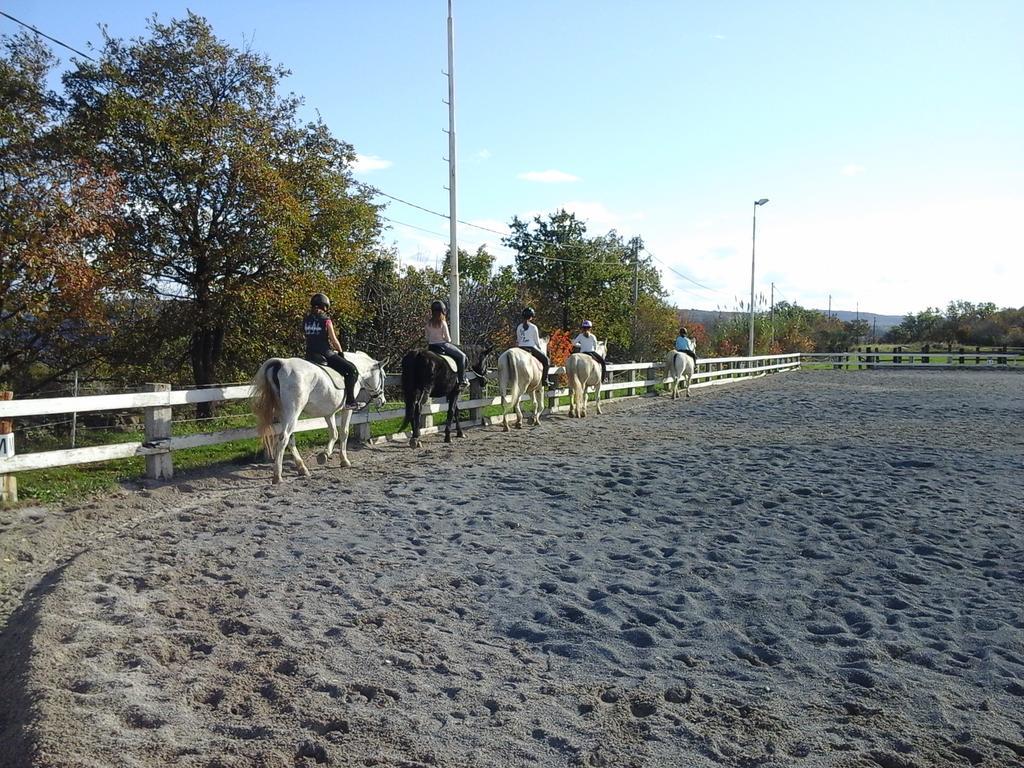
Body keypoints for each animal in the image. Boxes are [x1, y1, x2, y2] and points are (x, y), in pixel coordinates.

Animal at [251, 354, 387, 483]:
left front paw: (324, 455)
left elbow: (334, 433)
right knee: (284, 438)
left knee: (290, 438)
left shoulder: (329, 413)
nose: (383, 401)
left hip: (282, 414)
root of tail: (282, 363)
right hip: (293, 412)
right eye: (384, 377)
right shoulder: (347, 409)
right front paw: (344, 461)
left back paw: (302, 468)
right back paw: (278, 476)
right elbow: (344, 432)